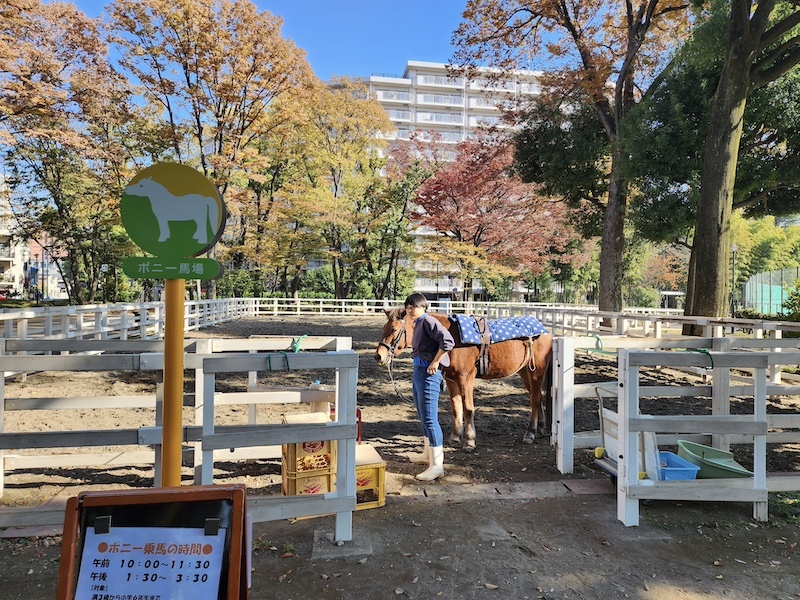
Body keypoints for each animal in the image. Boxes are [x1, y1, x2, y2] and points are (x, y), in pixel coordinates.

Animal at [374, 310, 552, 450]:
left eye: (394, 329)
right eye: (383, 328)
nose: (379, 356)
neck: (451, 338)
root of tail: (546, 332)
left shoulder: (465, 379)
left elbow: (467, 408)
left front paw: (470, 441)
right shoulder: (452, 381)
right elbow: (456, 408)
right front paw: (455, 436)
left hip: (536, 372)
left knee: (534, 399)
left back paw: (530, 433)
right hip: (525, 372)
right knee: (536, 398)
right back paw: (540, 428)